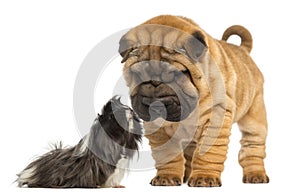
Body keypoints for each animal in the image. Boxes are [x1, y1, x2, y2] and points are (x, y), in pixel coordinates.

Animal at [118, 15, 270, 187]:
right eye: (137, 74)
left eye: (177, 74)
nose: (154, 87)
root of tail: (243, 50)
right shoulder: (157, 128)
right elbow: (167, 154)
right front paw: (167, 177)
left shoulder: (216, 116)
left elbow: (208, 152)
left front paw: (205, 177)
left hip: (254, 119)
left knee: (252, 148)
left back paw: (255, 175)